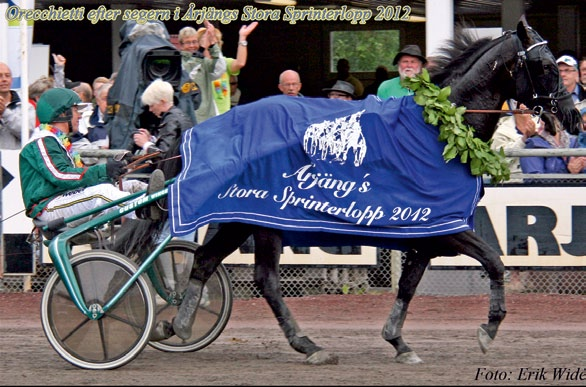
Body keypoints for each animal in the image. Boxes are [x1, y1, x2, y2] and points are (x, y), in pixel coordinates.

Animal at [118, 18, 580, 366]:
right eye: (545, 66)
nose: (574, 116)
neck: (438, 130)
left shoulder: (426, 233)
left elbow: (409, 284)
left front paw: (398, 341)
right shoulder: (444, 227)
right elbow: (495, 262)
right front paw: (489, 328)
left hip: (245, 220)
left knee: (216, 264)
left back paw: (182, 324)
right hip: (257, 221)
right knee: (254, 277)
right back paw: (299, 343)